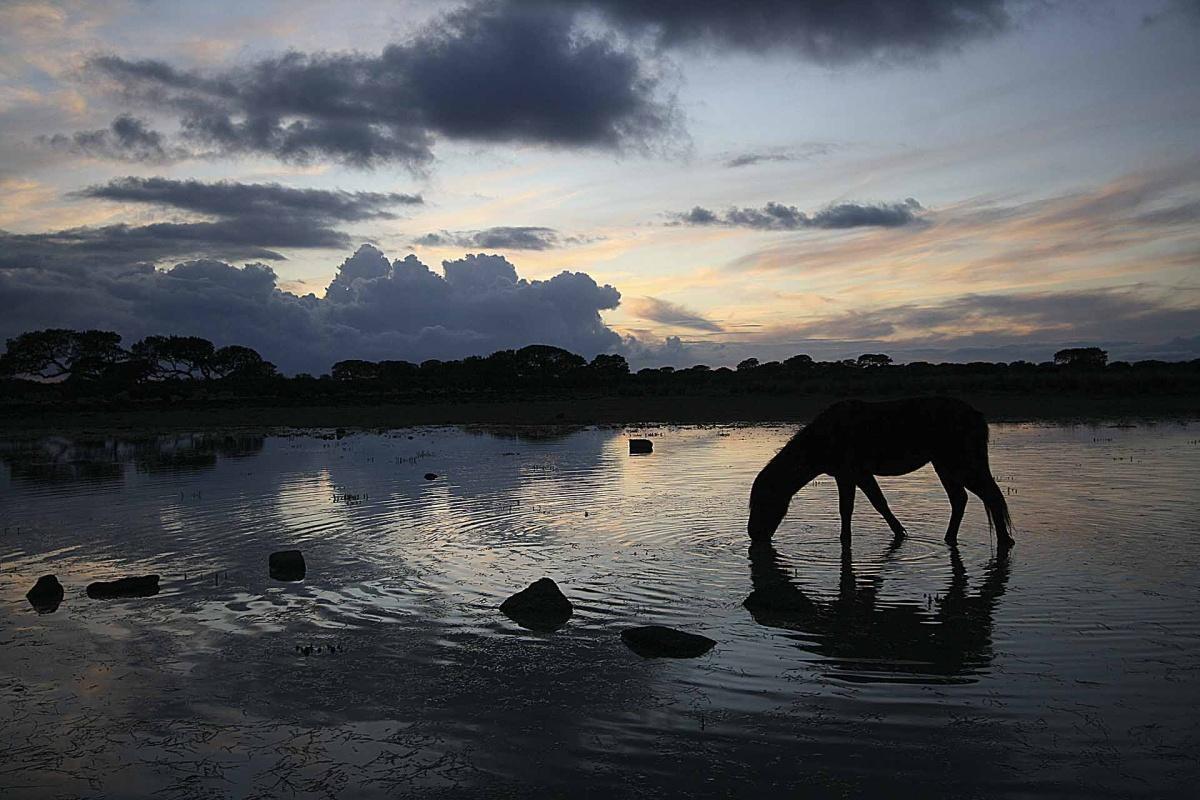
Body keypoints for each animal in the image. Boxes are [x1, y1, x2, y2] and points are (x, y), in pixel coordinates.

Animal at [748, 397, 1013, 547]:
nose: (753, 534)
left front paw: (845, 540)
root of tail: (977, 416)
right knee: (961, 499)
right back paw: (949, 538)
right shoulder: (860, 475)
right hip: (944, 465)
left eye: (762, 502)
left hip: (960, 463)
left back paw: (1004, 540)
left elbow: (847, 509)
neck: (821, 439)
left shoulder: (848, 474)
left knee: (990, 496)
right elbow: (880, 503)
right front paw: (900, 533)